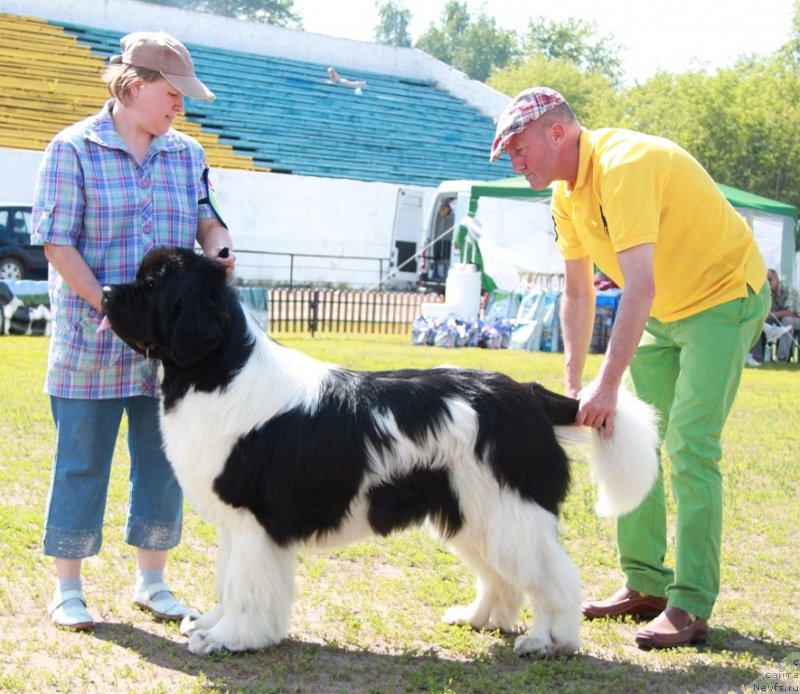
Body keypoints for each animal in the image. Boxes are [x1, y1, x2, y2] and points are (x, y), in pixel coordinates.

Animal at [100, 249, 660, 656]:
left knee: (554, 579)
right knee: (503, 578)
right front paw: (212, 624)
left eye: (151, 285)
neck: (219, 372)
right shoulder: (234, 525)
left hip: (510, 511)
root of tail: (528, 394)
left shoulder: (255, 522)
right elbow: (226, 581)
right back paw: (477, 619)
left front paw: (229, 639)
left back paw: (549, 641)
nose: (104, 290)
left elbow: (245, 586)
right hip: (473, 512)